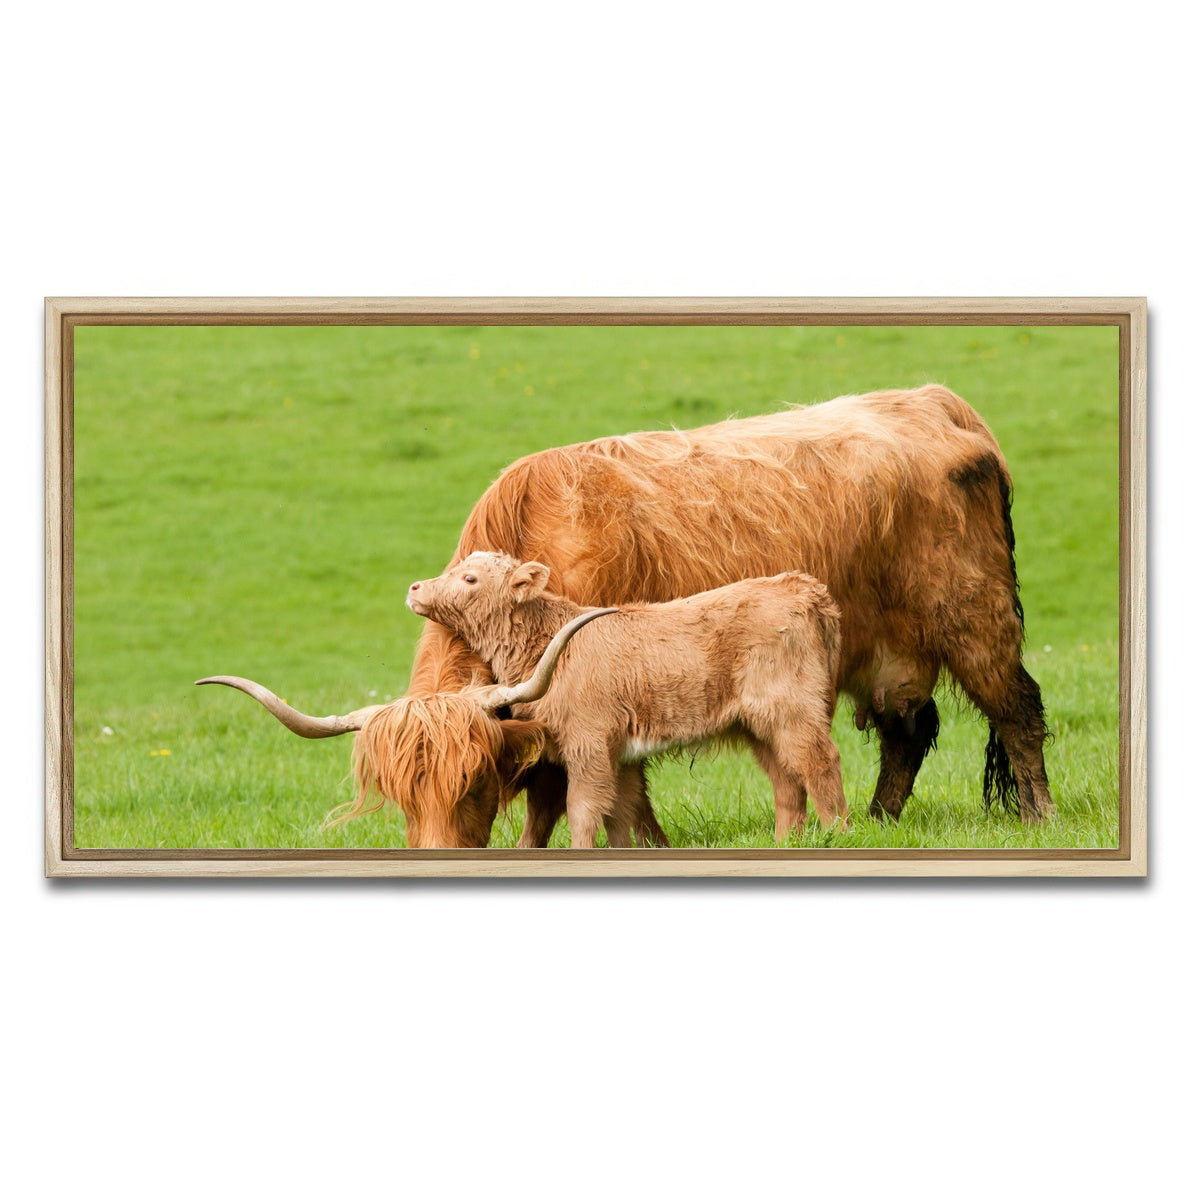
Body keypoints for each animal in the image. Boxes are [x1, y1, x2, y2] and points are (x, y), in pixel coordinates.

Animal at [403, 554, 848, 846]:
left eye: (470, 578)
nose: (414, 587)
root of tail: (803, 587)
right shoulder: (621, 754)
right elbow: (621, 809)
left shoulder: (588, 743)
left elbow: (583, 808)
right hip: (759, 724)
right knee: (786, 779)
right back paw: (786, 842)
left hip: (793, 709)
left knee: (819, 762)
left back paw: (838, 833)